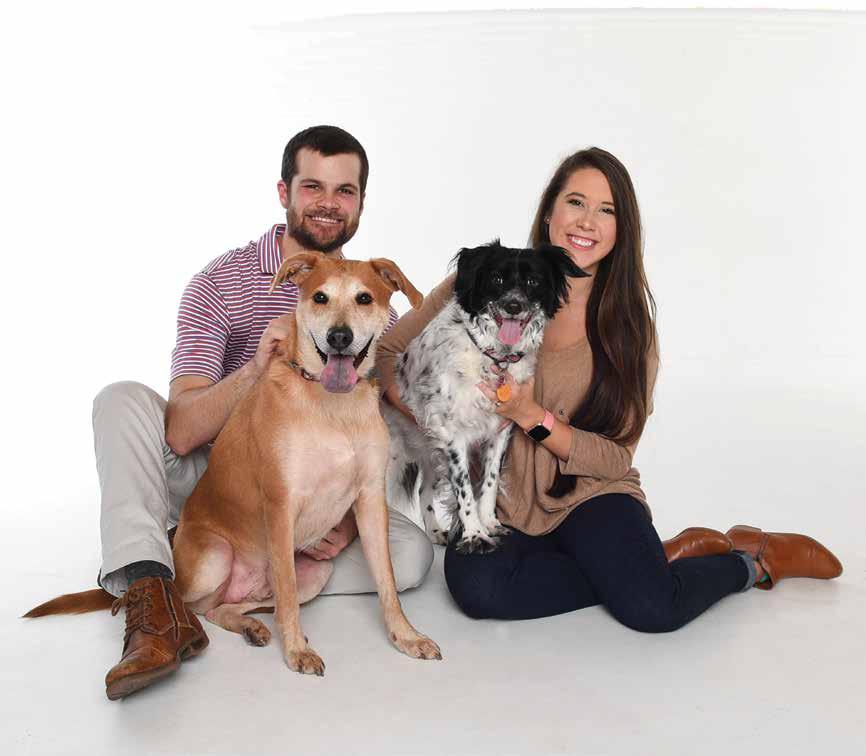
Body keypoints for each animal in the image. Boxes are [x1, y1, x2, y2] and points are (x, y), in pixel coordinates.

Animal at [384, 240, 586, 553]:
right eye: (497, 279)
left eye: (533, 281)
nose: (514, 305)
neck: (494, 358)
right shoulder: (453, 436)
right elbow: (465, 489)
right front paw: (475, 534)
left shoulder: (500, 432)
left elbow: (489, 482)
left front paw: (489, 522)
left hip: (431, 452)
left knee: (424, 489)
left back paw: (435, 531)